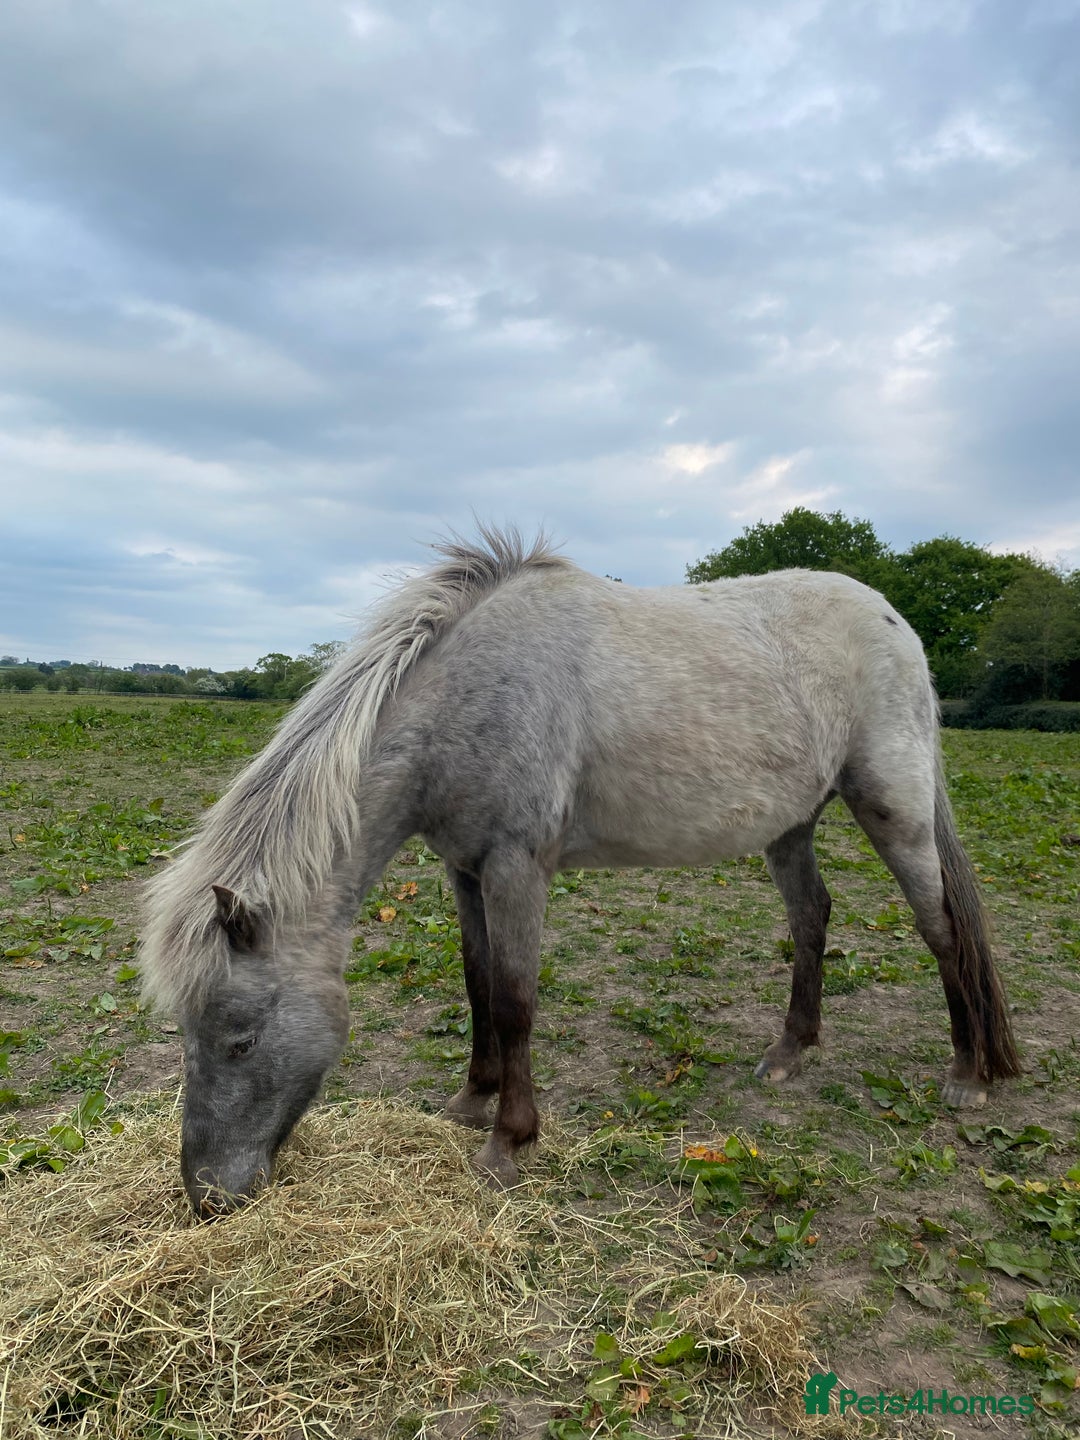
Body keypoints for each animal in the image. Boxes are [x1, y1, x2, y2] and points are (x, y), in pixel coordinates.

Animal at [141, 528, 1020, 1215]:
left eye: (241, 1041)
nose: (207, 1197)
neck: (467, 693)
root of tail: (894, 620)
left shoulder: (516, 867)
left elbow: (515, 1000)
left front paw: (509, 1143)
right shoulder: (464, 869)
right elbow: (477, 984)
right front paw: (471, 1100)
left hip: (894, 809)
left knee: (941, 928)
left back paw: (968, 1074)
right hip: (790, 827)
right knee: (813, 919)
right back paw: (789, 1052)